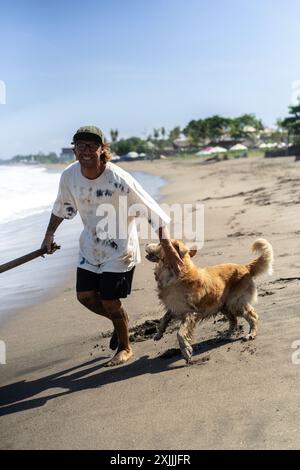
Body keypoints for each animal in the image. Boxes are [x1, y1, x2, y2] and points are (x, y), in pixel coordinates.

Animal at [145, 239, 274, 364]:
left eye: (160, 243)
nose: (146, 243)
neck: (175, 272)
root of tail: (245, 267)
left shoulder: (189, 313)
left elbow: (180, 333)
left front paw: (186, 351)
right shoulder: (174, 307)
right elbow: (164, 319)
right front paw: (158, 334)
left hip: (235, 303)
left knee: (253, 316)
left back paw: (251, 334)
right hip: (223, 305)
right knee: (234, 320)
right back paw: (226, 335)